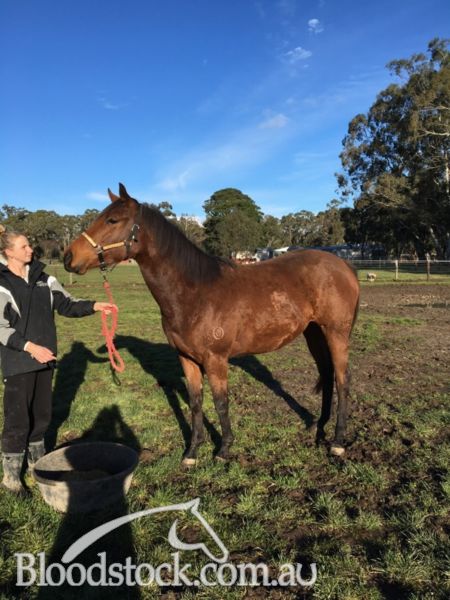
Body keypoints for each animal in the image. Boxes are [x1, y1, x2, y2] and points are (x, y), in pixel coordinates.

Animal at [64, 184, 360, 462]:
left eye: (112, 220)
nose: (68, 257)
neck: (196, 293)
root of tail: (344, 266)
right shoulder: (186, 358)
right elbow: (196, 403)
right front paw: (192, 451)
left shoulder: (215, 359)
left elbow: (220, 402)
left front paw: (224, 448)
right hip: (314, 333)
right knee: (328, 375)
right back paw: (319, 428)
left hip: (336, 332)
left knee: (343, 380)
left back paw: (338, 441)